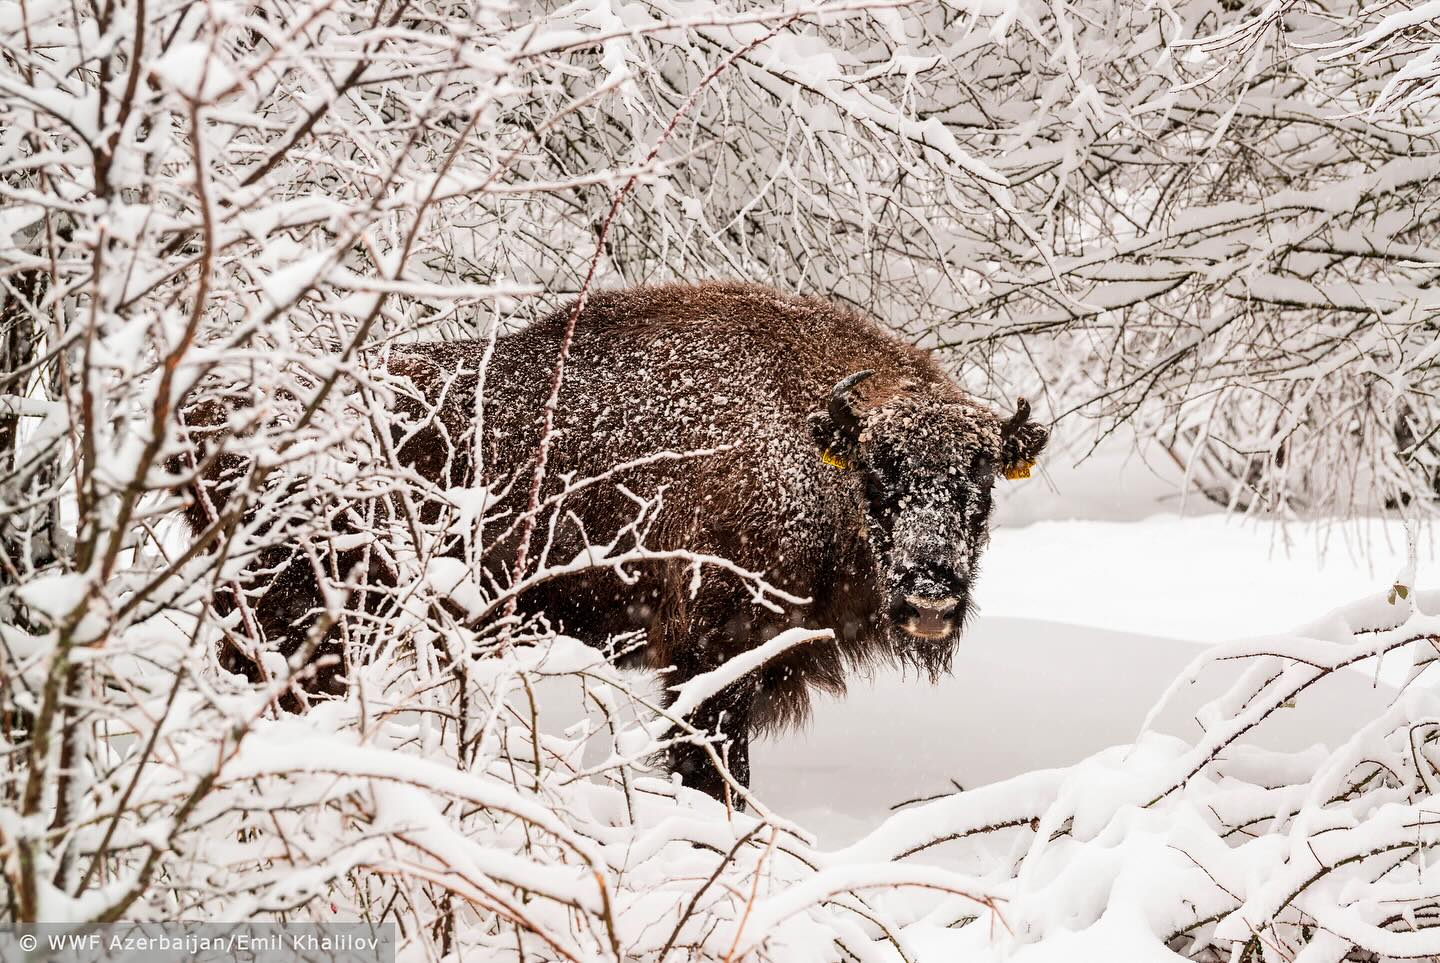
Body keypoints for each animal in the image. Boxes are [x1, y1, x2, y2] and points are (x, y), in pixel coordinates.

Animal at [185, 282, 1054, 800]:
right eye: (880, 471)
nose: (931, 594)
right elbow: (714, 773)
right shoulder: (709, 663)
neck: (806, 438)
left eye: (980, 482)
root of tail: (203, 409)